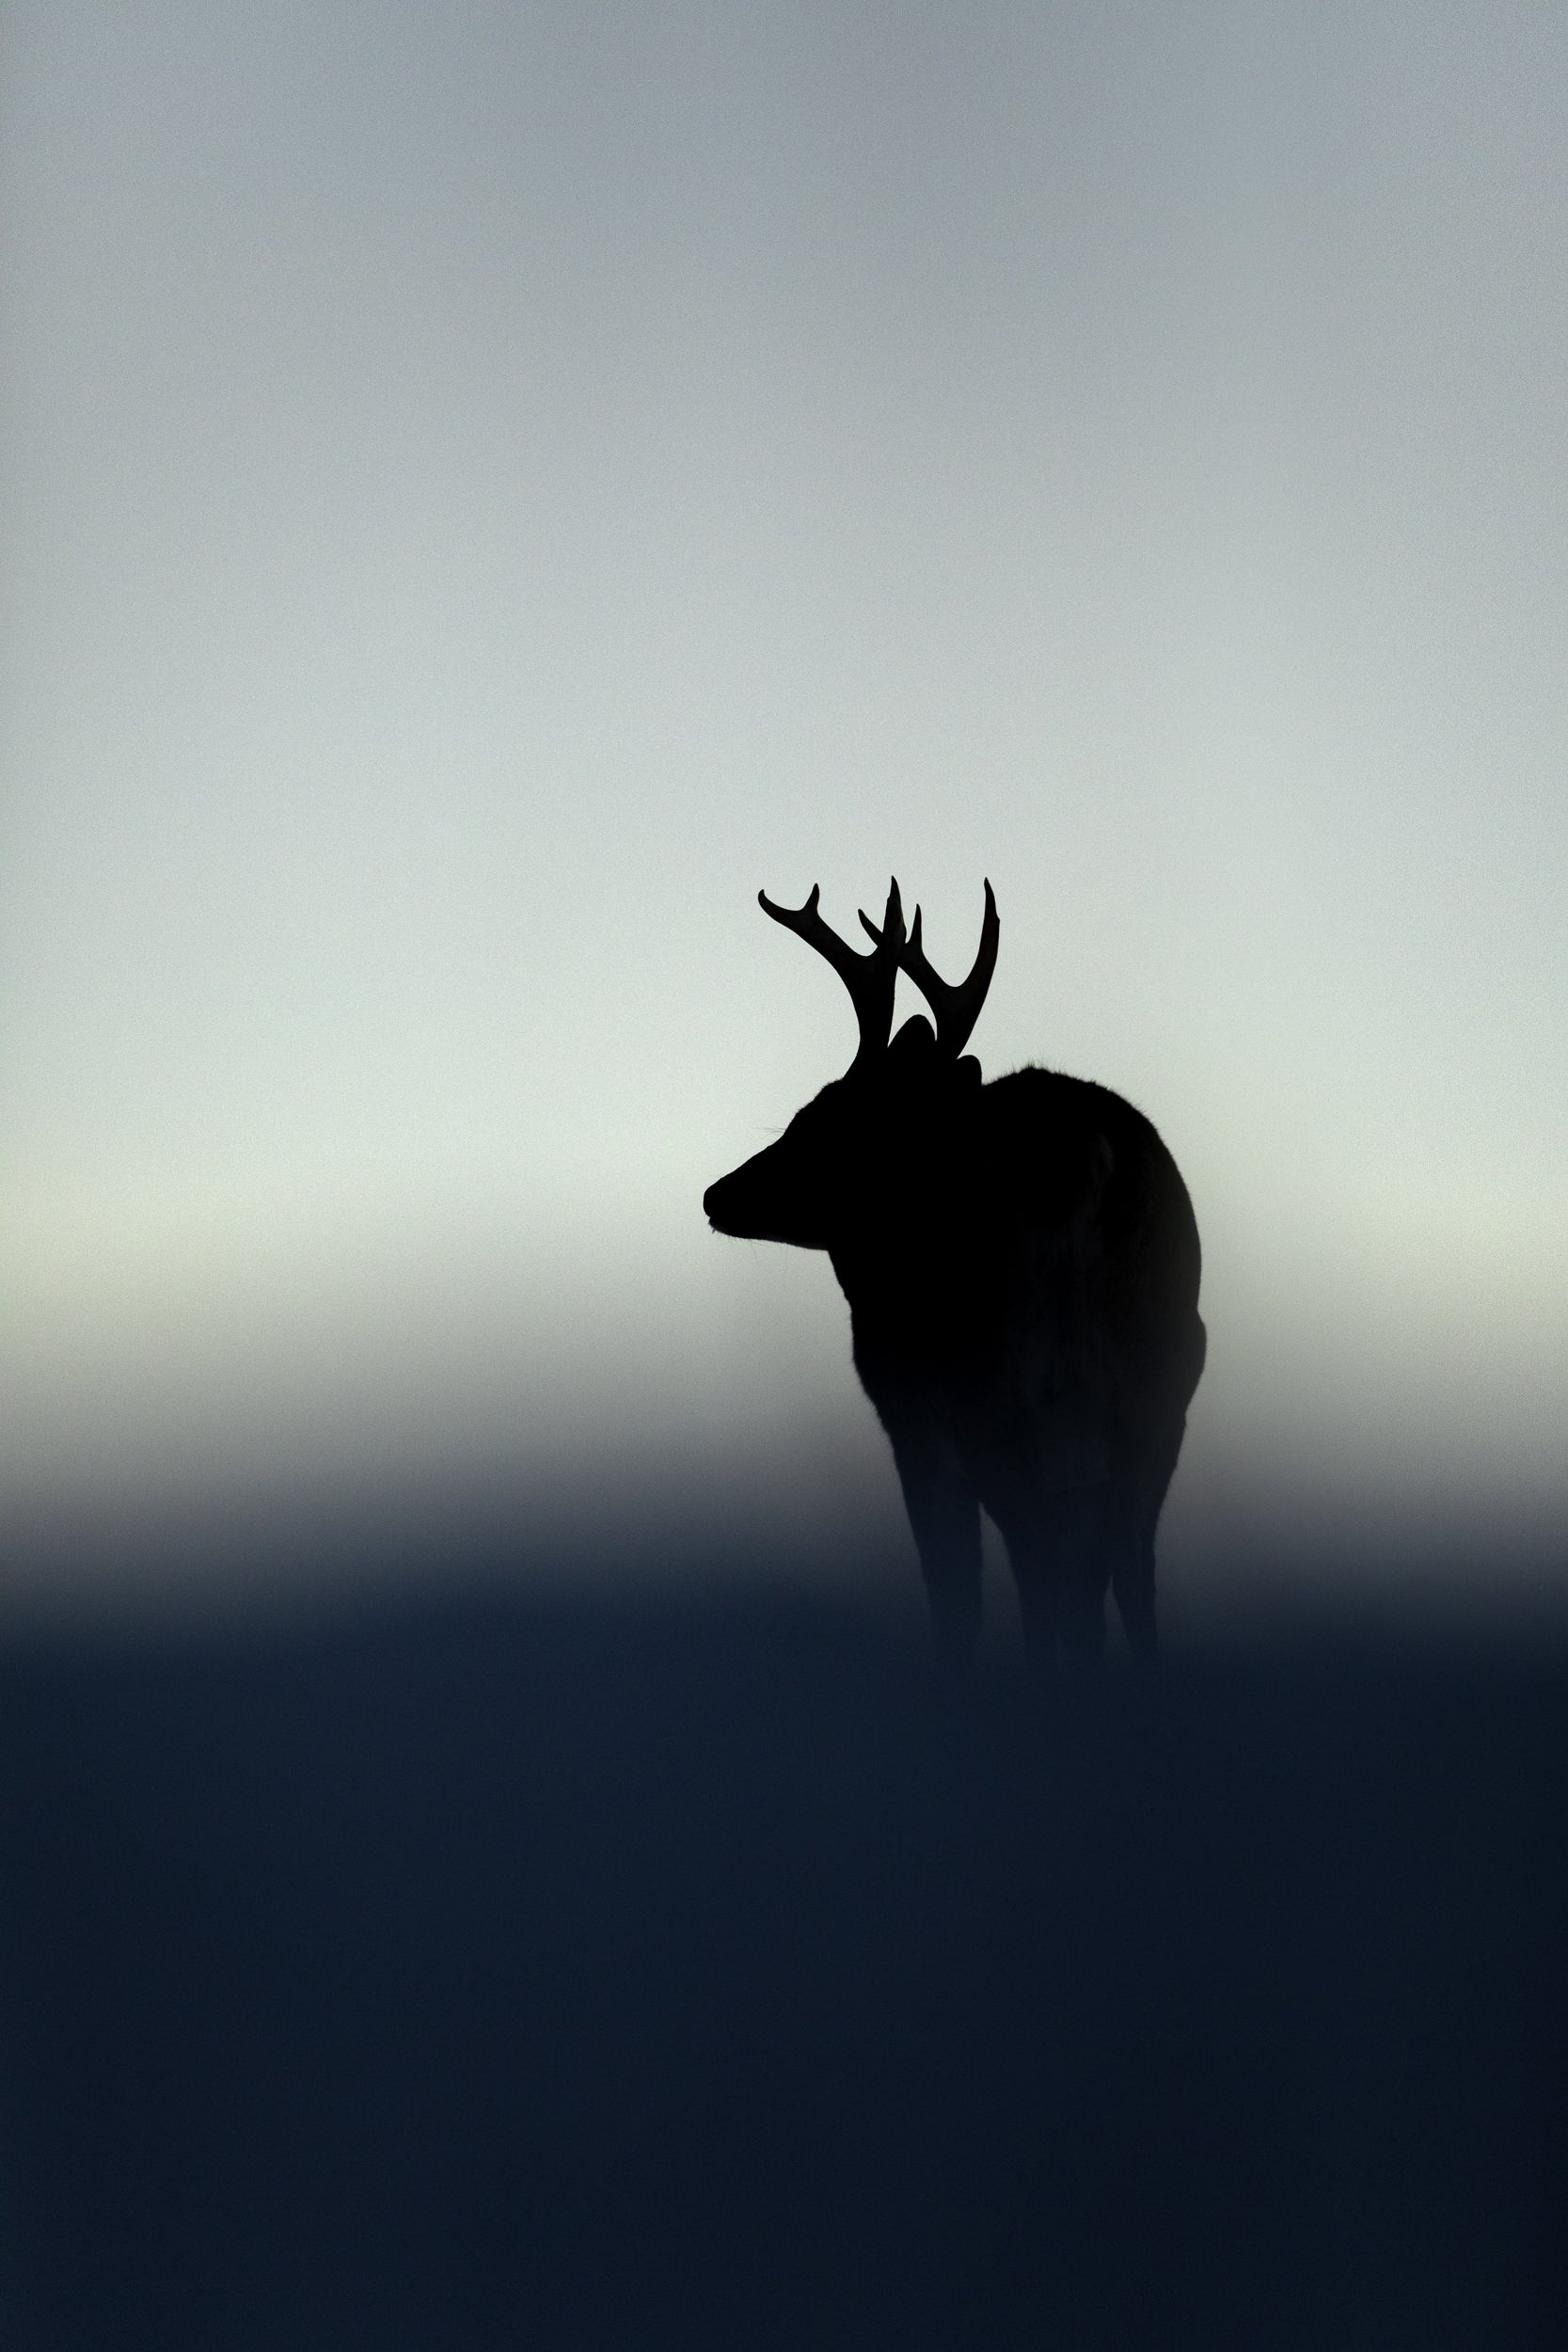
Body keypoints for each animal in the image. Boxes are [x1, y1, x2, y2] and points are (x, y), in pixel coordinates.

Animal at [702, 879, 1205, 1670]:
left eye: (817, 1119)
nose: (716, 1194)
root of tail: (1064, 1146)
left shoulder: (907, 1414)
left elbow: (955, 1595)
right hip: (1162, 1376)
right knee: (1124, 1565)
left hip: (990, 1379)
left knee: (1039, 1561)